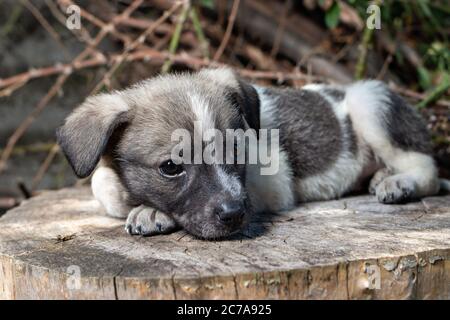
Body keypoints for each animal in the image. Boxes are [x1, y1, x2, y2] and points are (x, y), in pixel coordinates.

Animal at [57, 67, 442, 240]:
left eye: (235, 149)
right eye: (170, 167)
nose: (234, 215)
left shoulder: (275, 181)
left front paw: (151, 212)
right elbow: (102, 186)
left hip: (371, 104)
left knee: (429, 170)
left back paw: (399, 183)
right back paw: (381, 176)